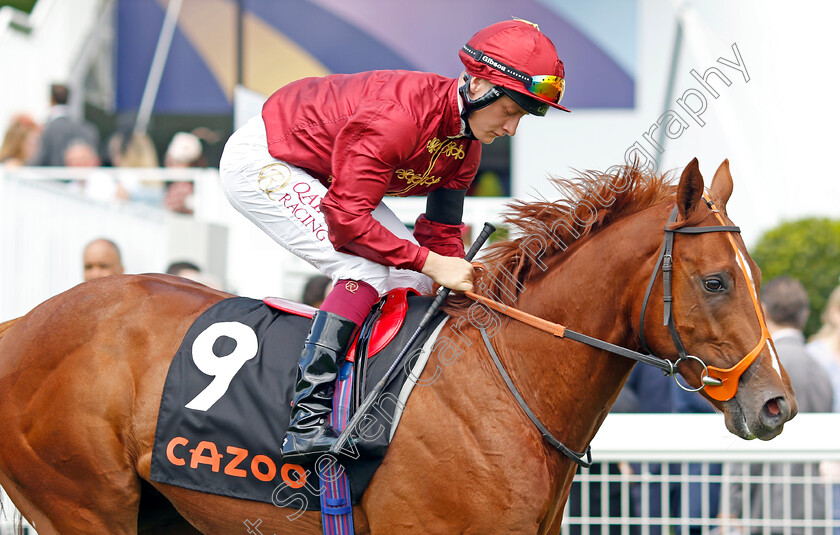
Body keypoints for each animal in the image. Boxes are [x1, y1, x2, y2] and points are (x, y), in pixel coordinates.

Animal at [0, 160, 796, 535]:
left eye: (757, 276)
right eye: (718, 281)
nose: (777, 404)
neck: (506, 385)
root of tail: (22, 323)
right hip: (83, 503)